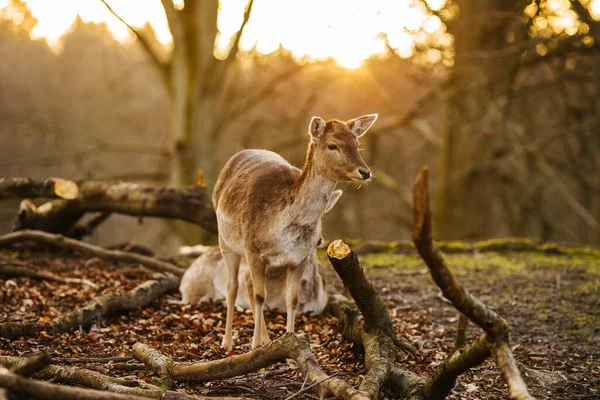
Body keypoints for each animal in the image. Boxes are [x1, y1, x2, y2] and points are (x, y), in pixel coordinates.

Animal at [213, 113, 378, 350]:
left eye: (357, 144)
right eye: (332, 145)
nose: (365, 172)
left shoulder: (300, 257)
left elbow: (292, 299)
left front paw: (290, 339)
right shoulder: (253, 249)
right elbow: (260, 295)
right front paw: (254, 346)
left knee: (247, 282)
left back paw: (266, 339)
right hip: (226, 241)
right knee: (233, 285)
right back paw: (227, 342)